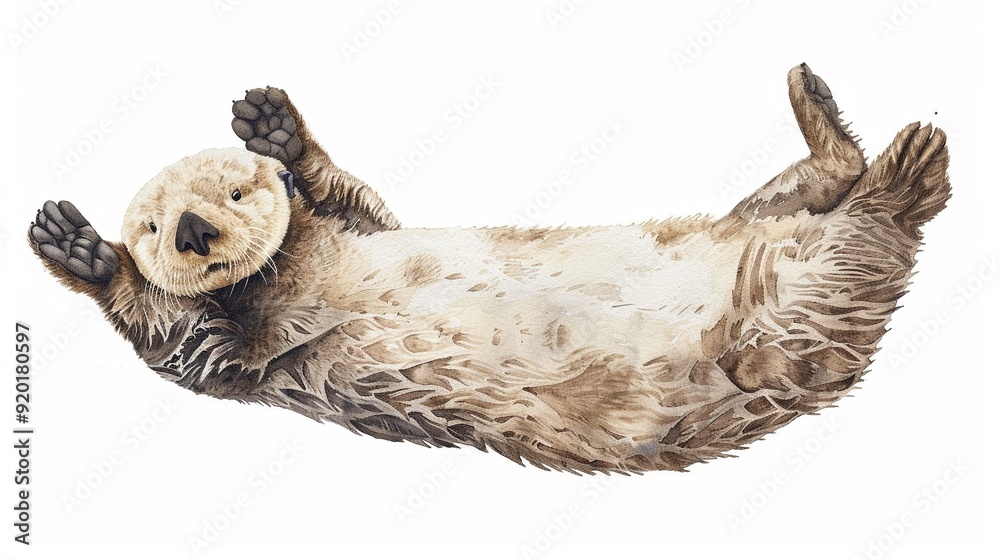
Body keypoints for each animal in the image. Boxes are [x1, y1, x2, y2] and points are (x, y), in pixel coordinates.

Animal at [29, 64, 949, 474]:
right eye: (150, 224)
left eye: (235, 188)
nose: (191, 230)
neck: (294, 267)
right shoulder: (238, 341)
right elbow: (182, 342)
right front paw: (82, 250)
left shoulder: (348, 234)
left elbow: (351, 200)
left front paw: (274, 128)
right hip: (789, 306)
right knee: (864, 226)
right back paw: (904, 159)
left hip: (775, 266)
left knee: (839, 199)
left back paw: (845, 119)